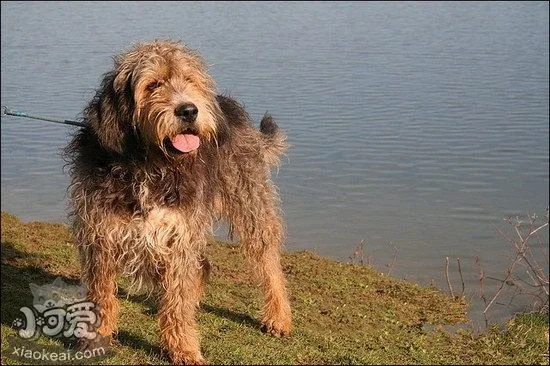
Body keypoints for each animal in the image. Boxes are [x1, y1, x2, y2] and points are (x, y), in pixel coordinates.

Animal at [64, 40, 294, 364]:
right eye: (153, 85)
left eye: (189, 80)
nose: (188, 110)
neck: (150, 165)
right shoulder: (101, 236)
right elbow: (102, 294)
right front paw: (95, 339)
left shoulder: (178, 235)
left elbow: (178, 298)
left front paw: (183, 347)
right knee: (203, 266)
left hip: (249, 200)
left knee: (268, 260)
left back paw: (278, 317)